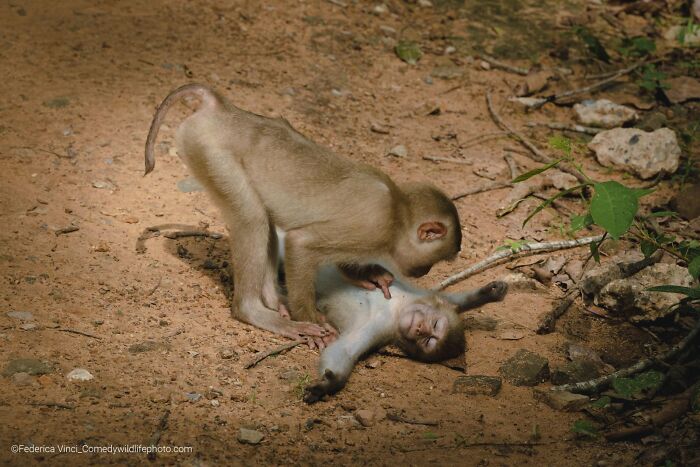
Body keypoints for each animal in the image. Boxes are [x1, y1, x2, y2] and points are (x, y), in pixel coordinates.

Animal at [144, 84, 462, 342]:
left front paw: (367, 274)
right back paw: (255, 311)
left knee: (265, 221)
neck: (398, 211)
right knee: (253, 219)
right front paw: (310, 319)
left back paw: (273, 299)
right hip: (210, 151)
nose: (424, 271)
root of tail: (222, 109)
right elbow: (301, 243)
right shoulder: (374, 227)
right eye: (434, 260)